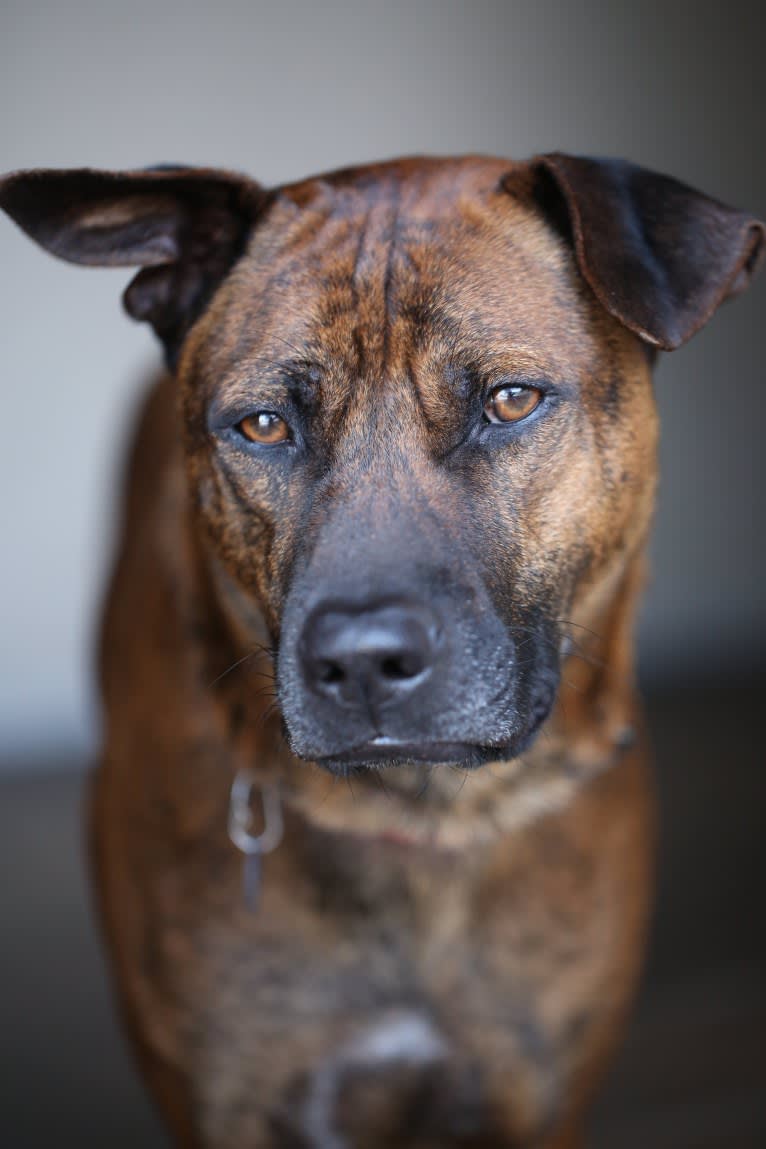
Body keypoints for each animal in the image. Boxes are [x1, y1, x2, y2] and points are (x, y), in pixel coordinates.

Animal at [2, 155, 762, 1149]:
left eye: (510, 400)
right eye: (261, 425)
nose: (362, 662)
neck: (425, 822)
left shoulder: (537, 1102)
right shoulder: (227, 1103)